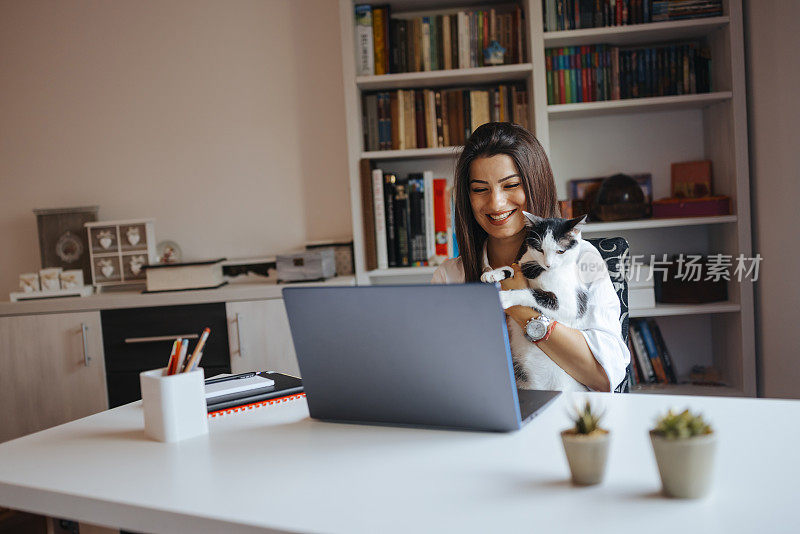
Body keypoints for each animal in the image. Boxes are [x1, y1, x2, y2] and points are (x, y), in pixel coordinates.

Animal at [482, 213, 592, 394]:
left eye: (560, 251)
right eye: (540, 249)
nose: (548, 264)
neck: (540, 272)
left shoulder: (569, 306)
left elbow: (532, 294)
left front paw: (505, 297)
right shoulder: (525, 263)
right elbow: (513, 267)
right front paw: (494, 273)